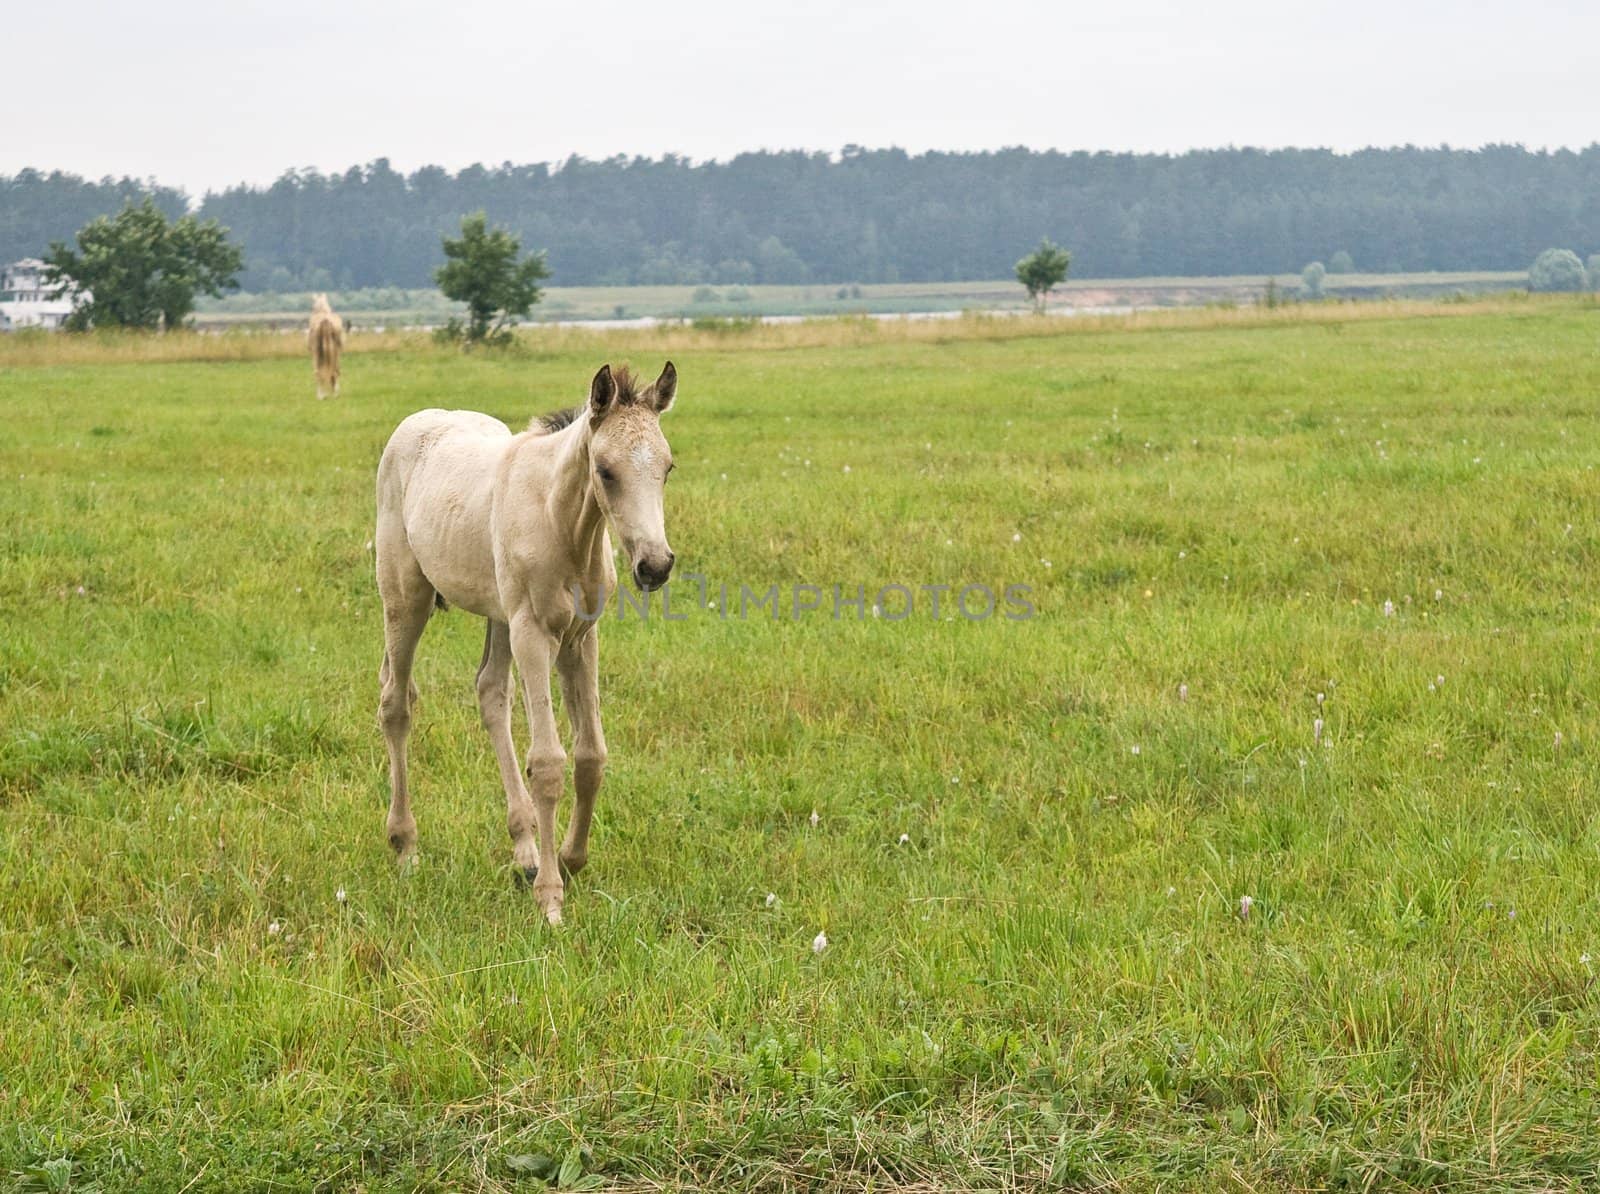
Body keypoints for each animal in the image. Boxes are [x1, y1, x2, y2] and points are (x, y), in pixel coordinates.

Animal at [372, 363, 675, 921]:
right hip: (407, 597)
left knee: (491, 692)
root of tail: (418, 420)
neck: (562, 523)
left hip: (499, 615)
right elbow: (550, 762)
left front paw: (570, 860)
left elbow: (590, 755)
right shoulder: (534, 631)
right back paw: (405, 846)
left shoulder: (580, 637)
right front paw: (552, 899)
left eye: (667, 468)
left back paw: (526, 850)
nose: (655, 565)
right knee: (395, 703)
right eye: (606, 471)